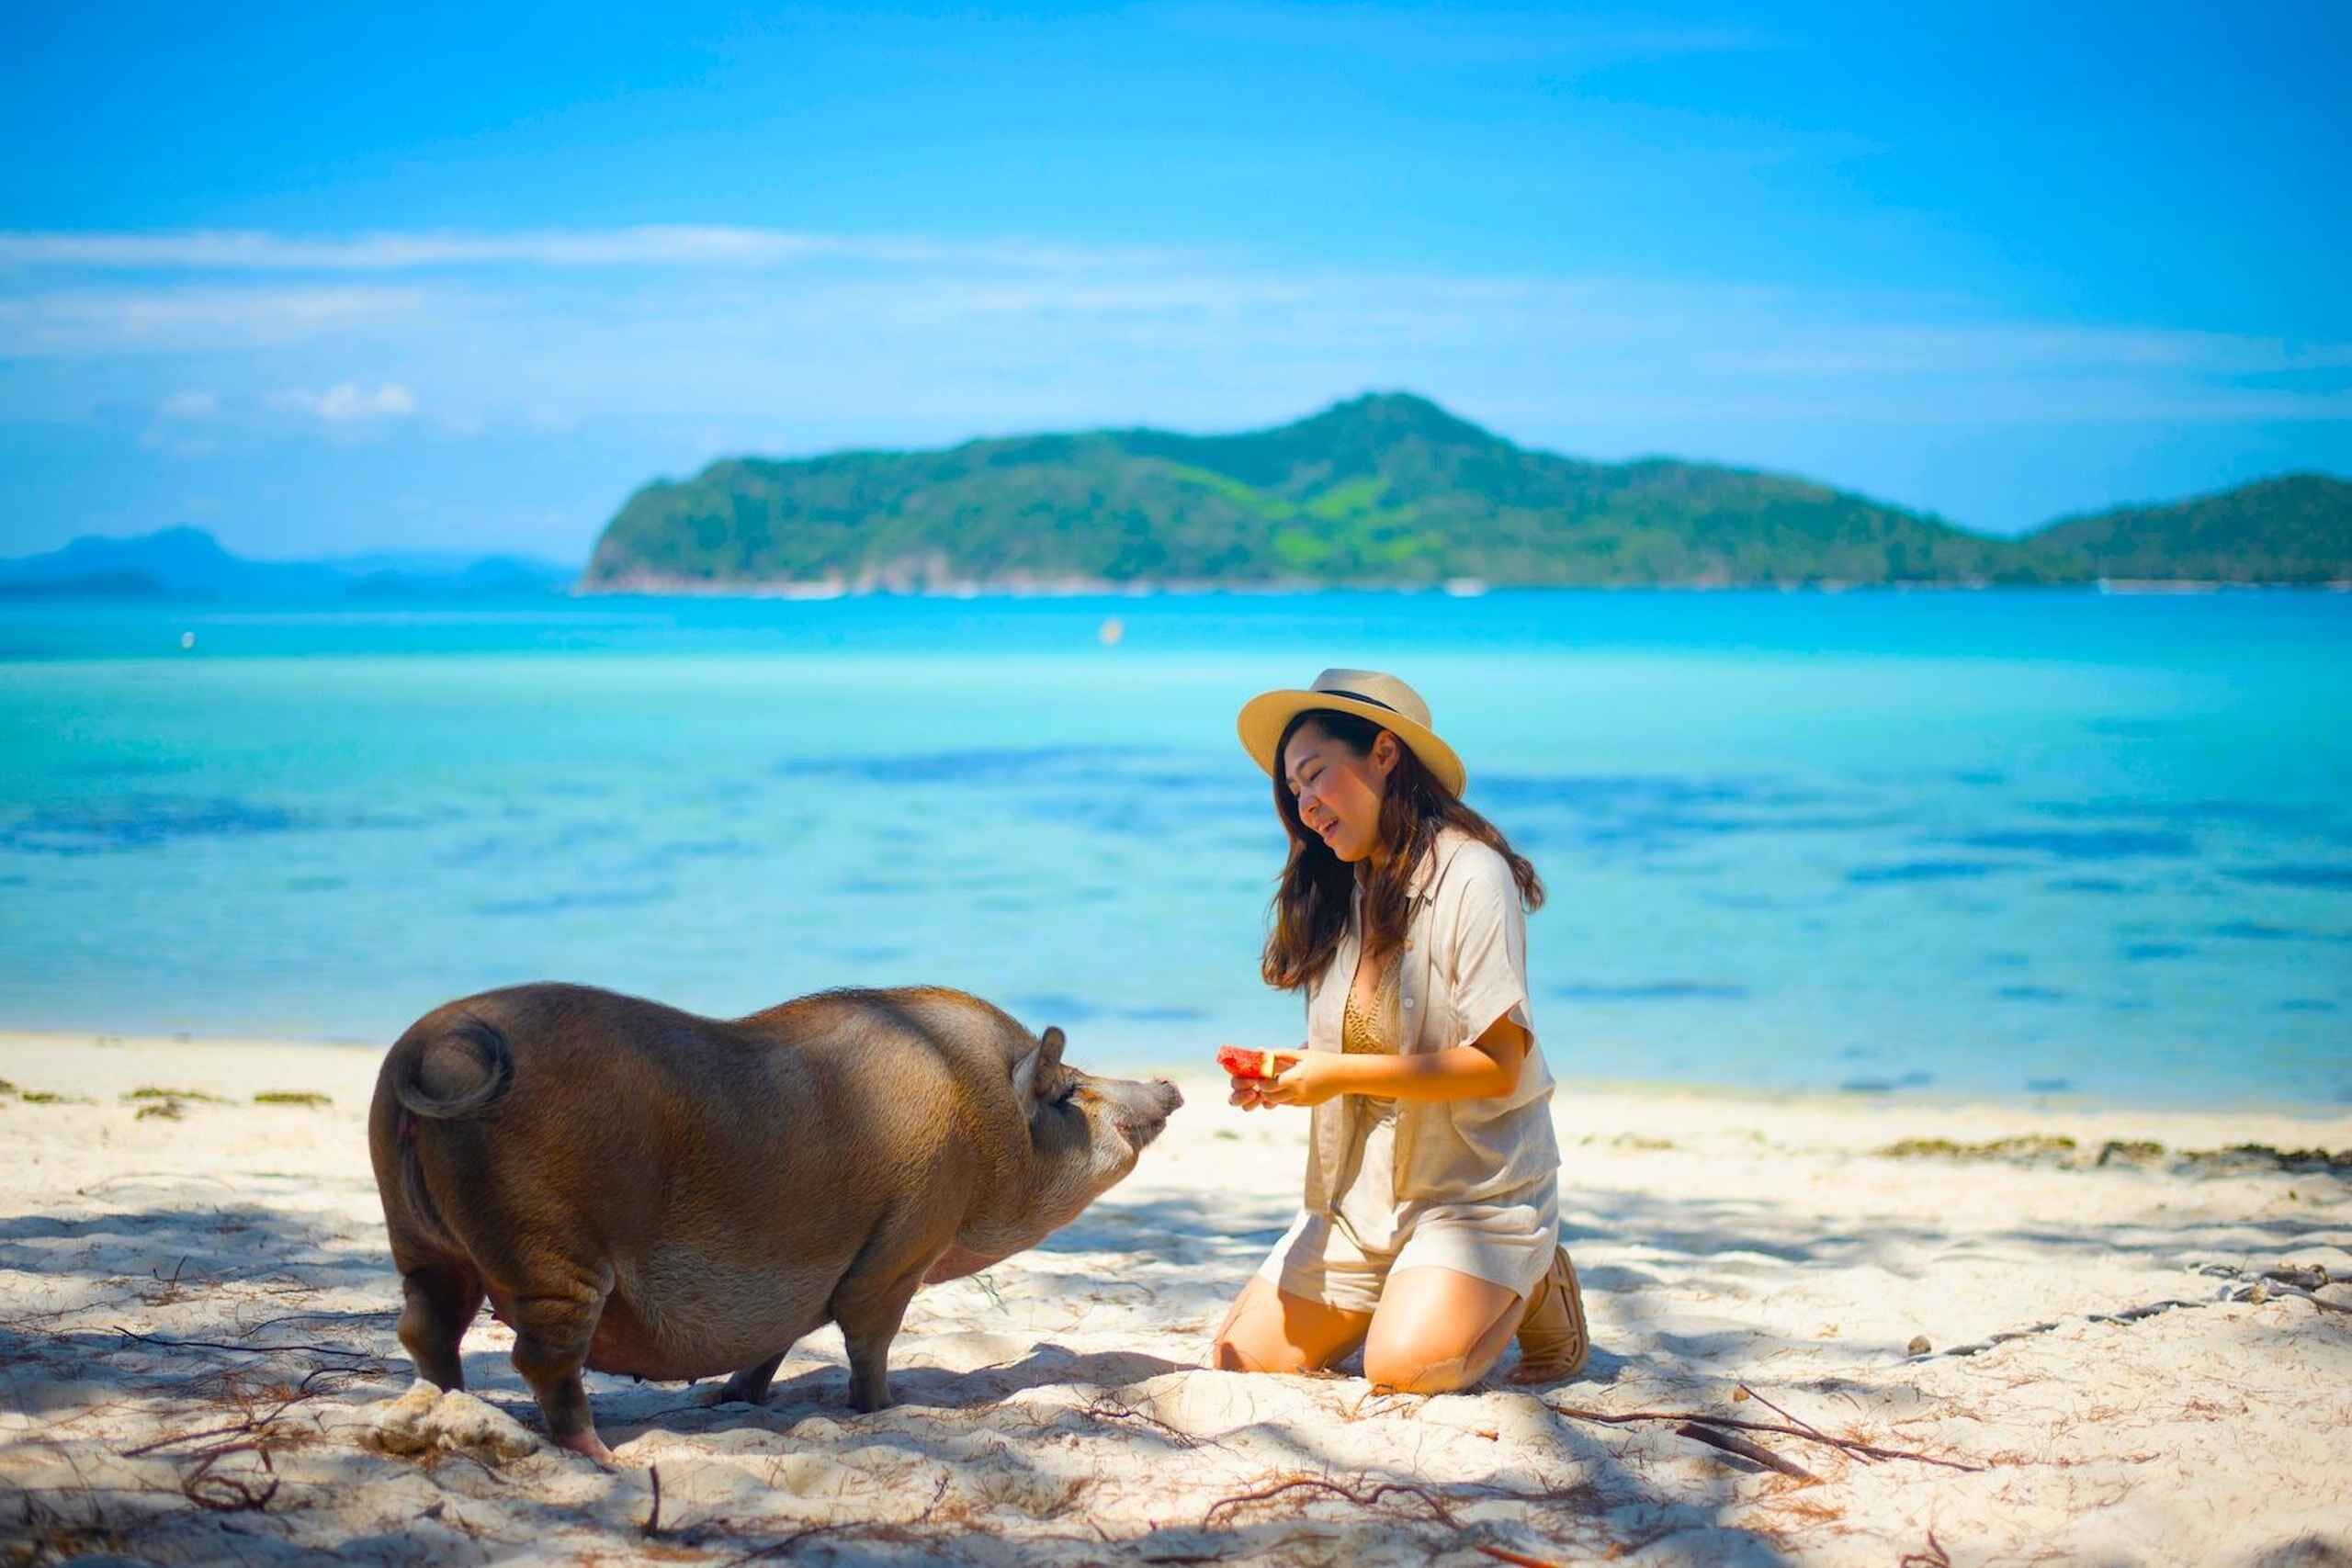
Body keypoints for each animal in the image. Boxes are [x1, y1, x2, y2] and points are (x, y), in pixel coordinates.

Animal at [367, 982, 1182, 1462]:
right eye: (1069, 1091)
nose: (1171, 1085)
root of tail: (427, 1046)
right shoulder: (902, 1245)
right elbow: (867, 1335)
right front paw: (887, 1408)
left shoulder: (805, 1280)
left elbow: (776, 1340)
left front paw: (732, 1398)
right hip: (545, 1247)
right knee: (538, 1356)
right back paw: (604, 1456)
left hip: (422, 1239)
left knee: (425, 1325)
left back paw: (446, 1407)